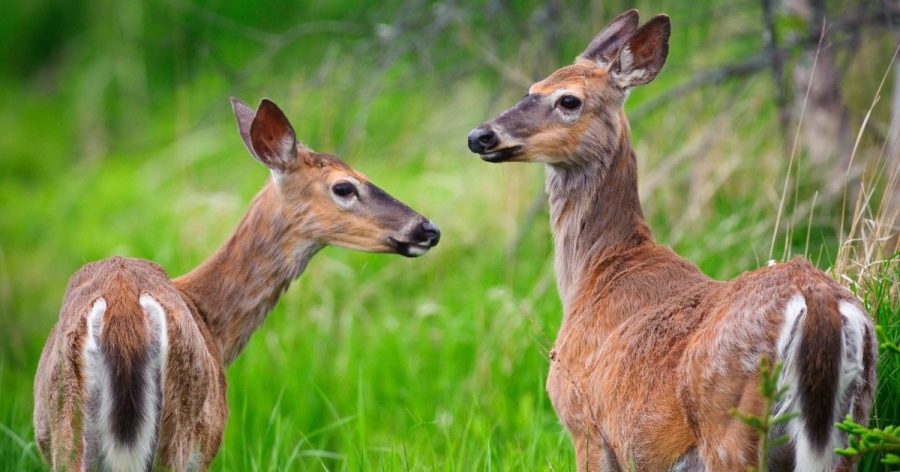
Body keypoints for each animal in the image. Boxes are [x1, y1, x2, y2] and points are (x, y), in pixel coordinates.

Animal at [33, 97, 440, 471]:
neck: (210, 320)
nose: (428, 229)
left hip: (66, 432)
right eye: (344, 187)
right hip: (179, 430)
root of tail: (123, 309)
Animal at [467, 10, 876, 472]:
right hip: (850, 421)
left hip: (729, 422)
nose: (480, 136)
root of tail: (817, 301)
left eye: (568, 100)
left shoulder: (584, 422)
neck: (595, 271)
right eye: (533, 88)